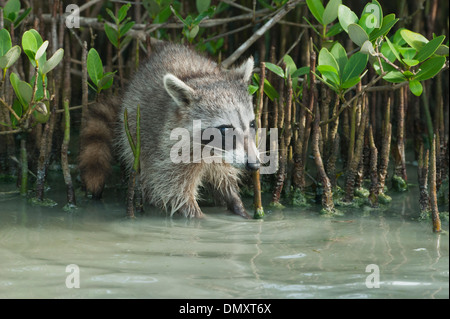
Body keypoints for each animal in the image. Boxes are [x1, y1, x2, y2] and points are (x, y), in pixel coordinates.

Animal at [79, 43, 258, 219]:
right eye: (224, 129)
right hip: (133, 134)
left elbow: (225, 181)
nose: (254, 164)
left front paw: (238, 205)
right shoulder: (168, 149)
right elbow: (173, 190)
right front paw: (199, 218)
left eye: (252, 124)